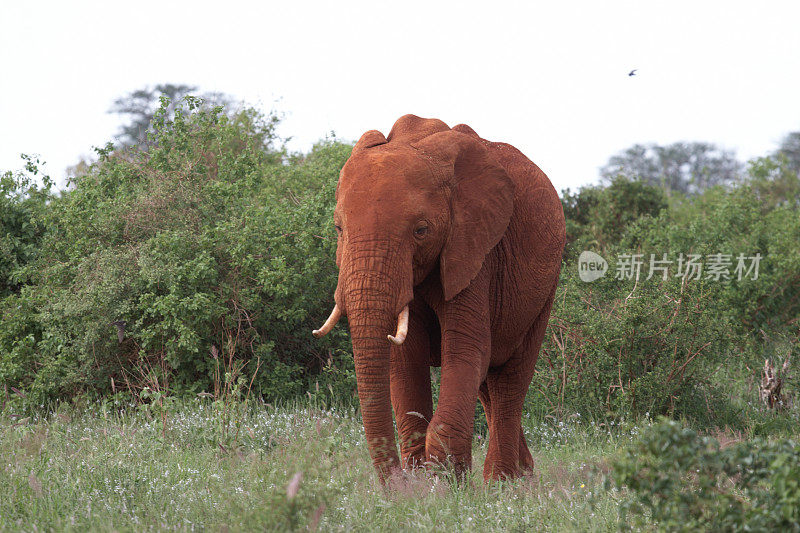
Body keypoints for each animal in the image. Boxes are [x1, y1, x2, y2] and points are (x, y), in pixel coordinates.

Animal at [310, 114, 564, 480]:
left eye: (421, 231)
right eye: (338, 229)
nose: (398, 486)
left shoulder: (474, 249)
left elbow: (466, 347)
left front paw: (444, 483)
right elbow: (406, 357)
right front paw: (424, 482)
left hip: (546, 287)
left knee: (510, 381)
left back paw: (501, 484)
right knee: (487, 384)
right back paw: (523, 477)